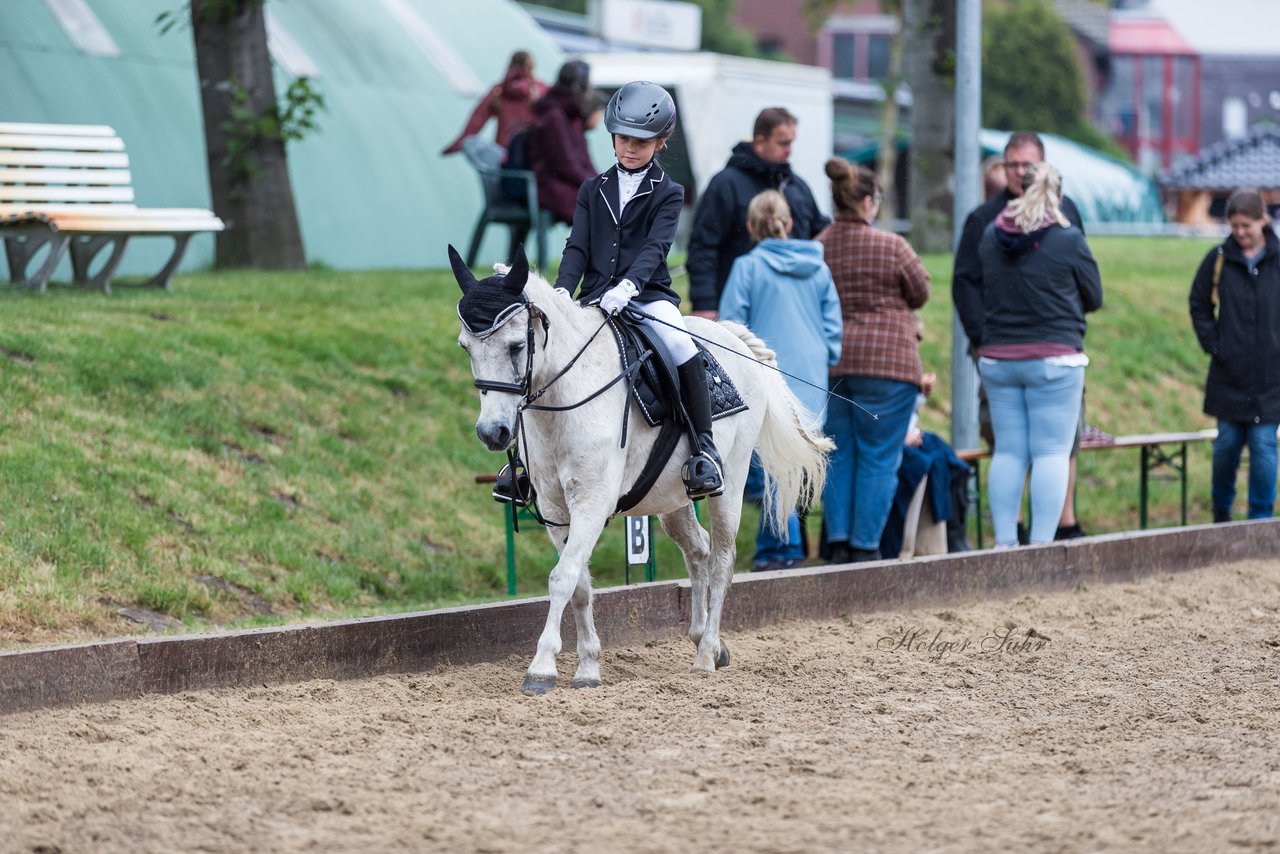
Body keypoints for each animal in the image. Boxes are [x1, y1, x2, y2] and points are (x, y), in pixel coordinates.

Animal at [450, 247, 829, 696]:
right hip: (671, 496)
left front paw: (541, 669)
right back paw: (706, 640)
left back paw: (706, 655)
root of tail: (733, 338)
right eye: (466, 348)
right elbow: (579, 584)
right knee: (698, 549)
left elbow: (563, 577)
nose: (493, 433)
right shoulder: (556, 509)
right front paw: (588, 667)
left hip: (730, 483)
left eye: (516, 345)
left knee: (722, 559)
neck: (562, 400)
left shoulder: (592, 501)